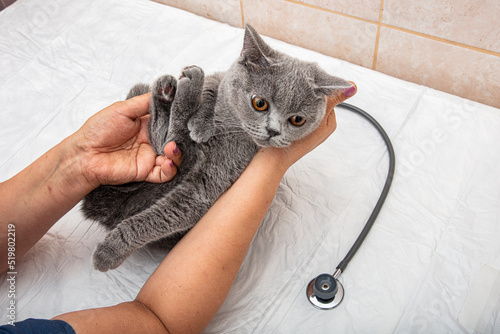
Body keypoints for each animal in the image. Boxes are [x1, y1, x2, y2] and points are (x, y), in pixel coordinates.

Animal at [82, 25, 352, 272]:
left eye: (297, 120)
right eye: (260, 103)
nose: (273, 131)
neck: (229, 122)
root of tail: (109, 212)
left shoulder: (208, 180)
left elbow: (165, 212)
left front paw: (110, 251)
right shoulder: (217, 84)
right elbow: (211, 90)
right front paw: (200, 118)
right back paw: (170, 89)